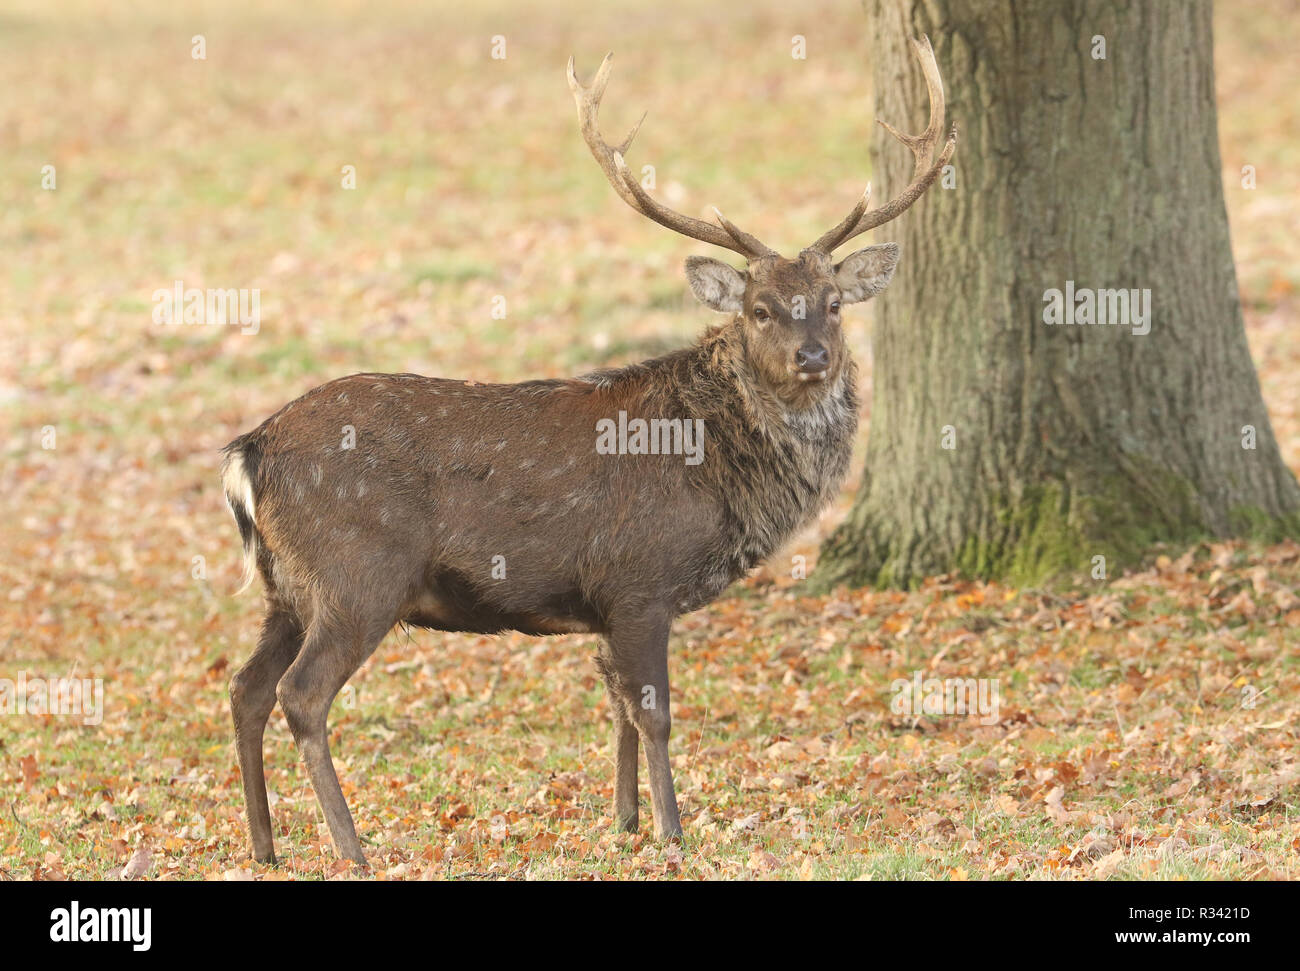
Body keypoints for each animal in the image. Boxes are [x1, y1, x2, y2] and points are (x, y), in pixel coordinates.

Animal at [222, 36, 955, 866]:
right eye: (760, 308)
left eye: (833, 304)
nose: (813, 357)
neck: (714, 467)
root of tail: (251, 450)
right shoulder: (640, 580)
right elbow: (654, 711)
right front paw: (672, 828)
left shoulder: (605, 603)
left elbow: (616, 706)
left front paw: (625, 818)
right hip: (357, 571)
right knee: (300, 693)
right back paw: (352, 846)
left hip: (286, 587)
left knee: (245, 688)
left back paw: (265, 845)